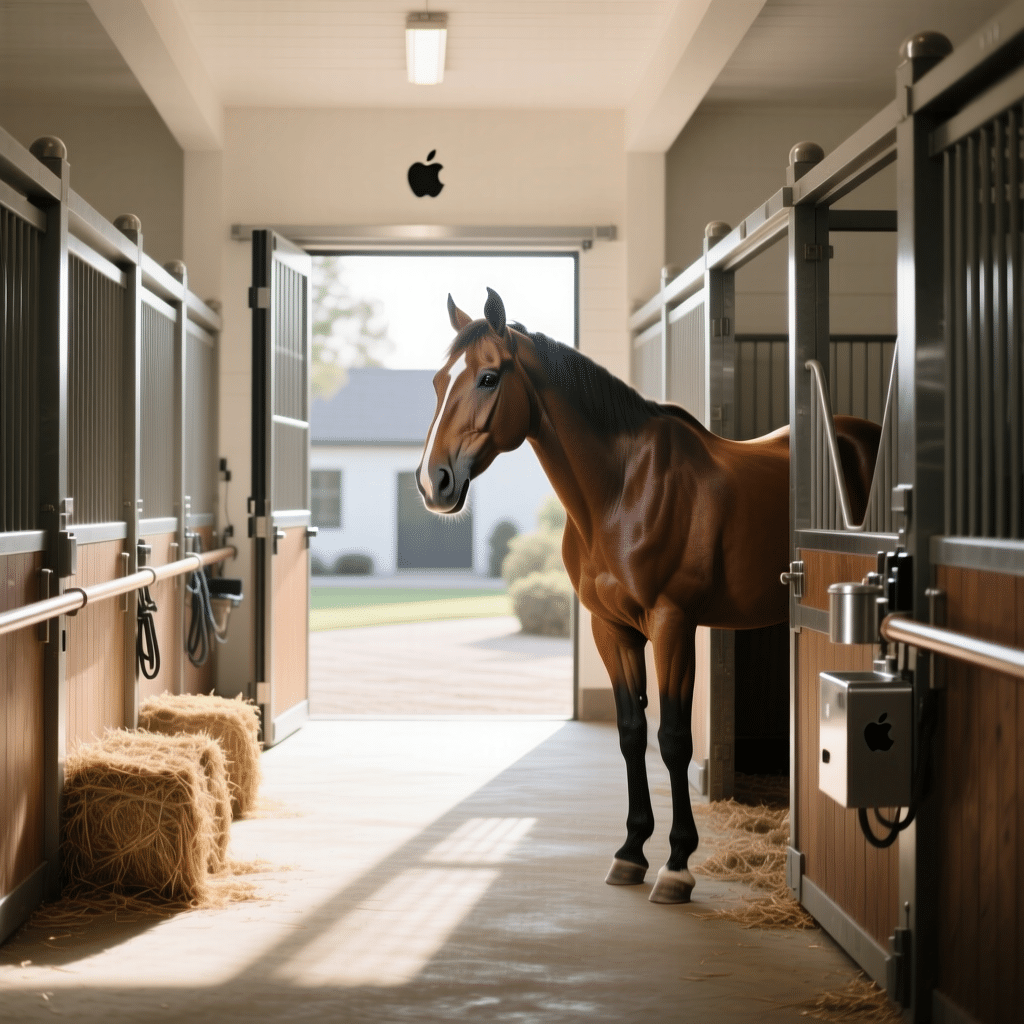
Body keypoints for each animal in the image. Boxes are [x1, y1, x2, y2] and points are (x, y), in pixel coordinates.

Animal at [418, 288, 880, 904]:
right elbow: (632, 734)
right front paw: (631, 852)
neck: (622, 490)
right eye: (439, 381)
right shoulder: (610, 629)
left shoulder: (672, 625)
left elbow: (674, 739)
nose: (433, 482)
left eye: (489, 377)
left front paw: (678, 865)